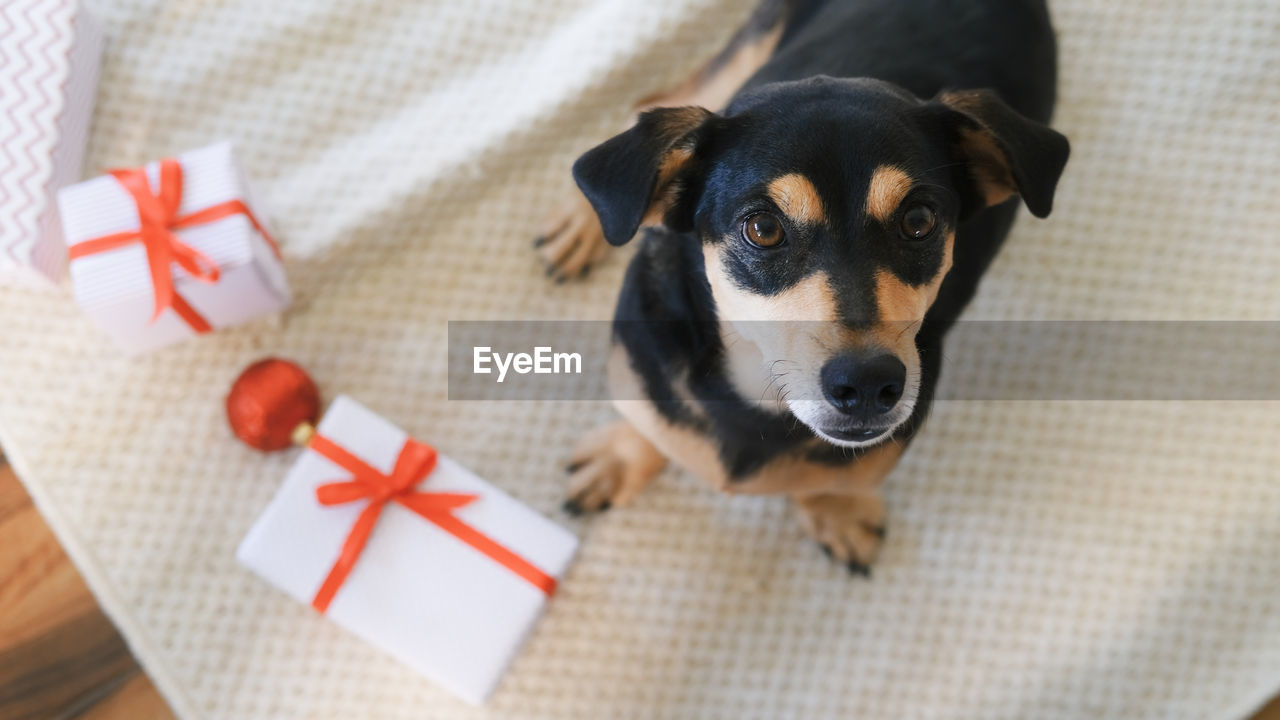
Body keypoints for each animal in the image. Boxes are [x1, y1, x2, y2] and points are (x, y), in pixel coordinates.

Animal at [532, 0, 1070, 571]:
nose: (868, 384)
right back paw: (583, 222)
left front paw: (837, 509)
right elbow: (650, 423)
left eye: (919, 220)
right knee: (654, 104)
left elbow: (843, 477)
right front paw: (620, 457)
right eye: (763, 228)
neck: (756, 392)